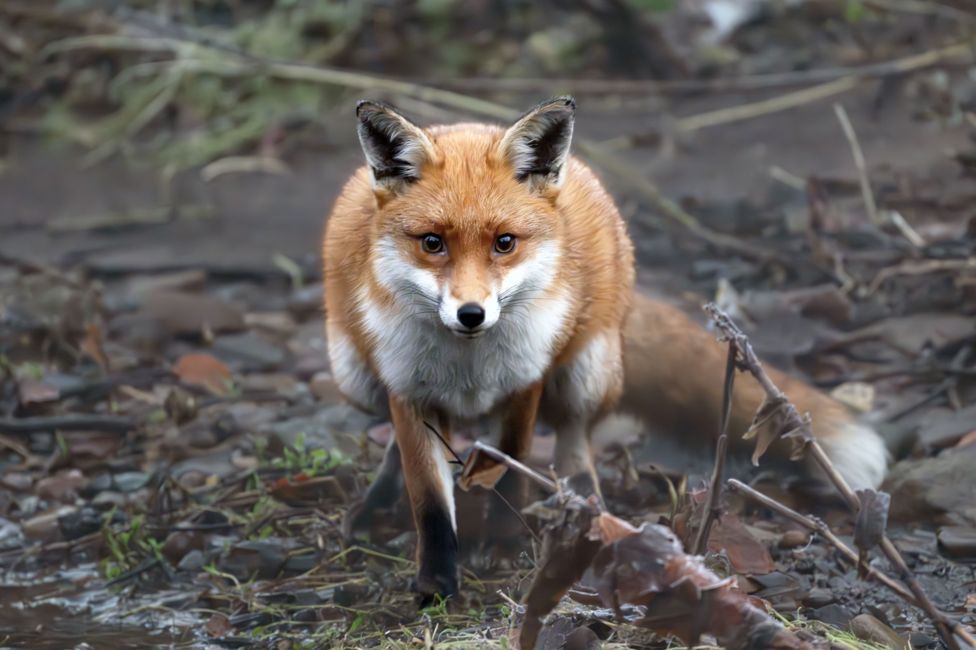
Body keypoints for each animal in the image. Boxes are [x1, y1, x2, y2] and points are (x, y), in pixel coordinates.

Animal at [322, 97, 892, 604]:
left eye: (504, 243)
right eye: (432, 243)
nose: (471, 314)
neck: (468, 363)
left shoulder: (526, 380)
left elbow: (513, 464)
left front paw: (502, 545)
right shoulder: (407, 389)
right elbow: (430, 502)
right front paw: (437, 581)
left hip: (585, 370)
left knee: (577, 439)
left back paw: (585, 505)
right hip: (353, 376)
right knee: (396, 448)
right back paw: (375, 507)